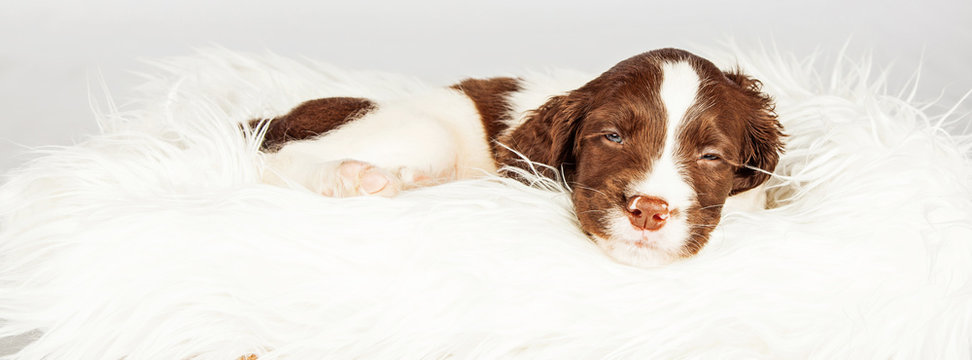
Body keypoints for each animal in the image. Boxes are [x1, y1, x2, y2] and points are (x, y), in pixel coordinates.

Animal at [252, 48, 784, 268]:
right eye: (612, 136)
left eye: (711, 156)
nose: (648, 212)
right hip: (423, 130)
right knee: (282, 163)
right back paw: (357, 177)